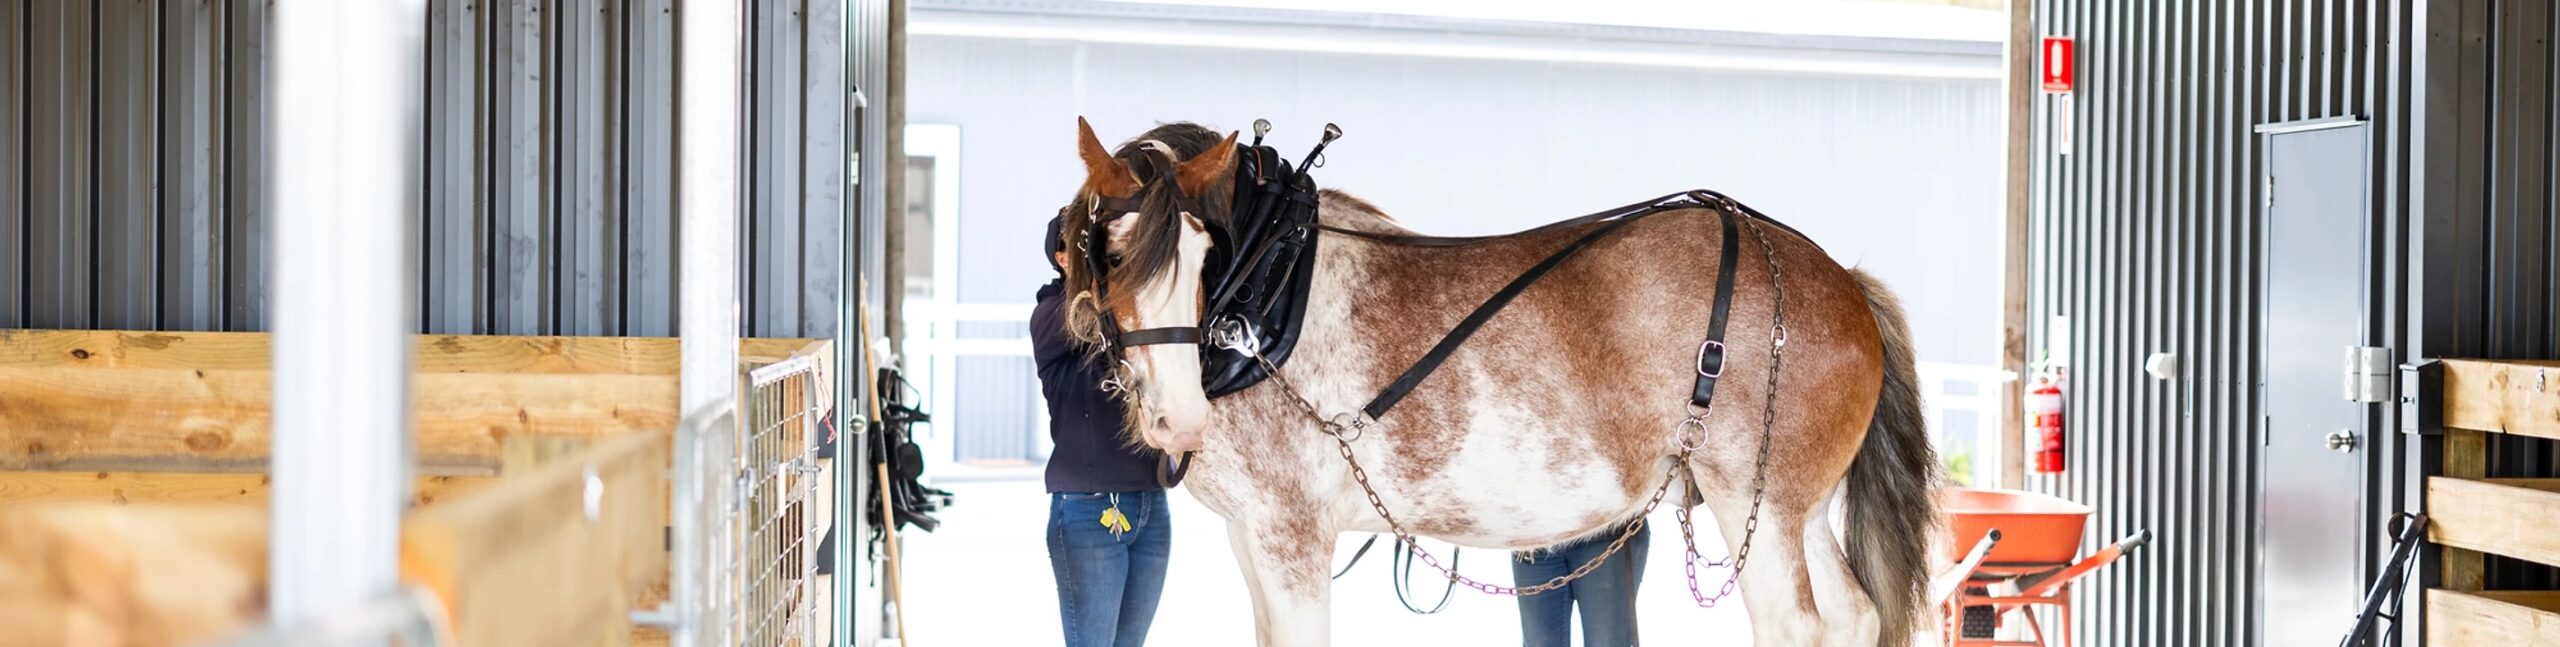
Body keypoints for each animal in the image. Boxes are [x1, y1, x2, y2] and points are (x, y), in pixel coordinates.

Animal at [1059, 117, 1935, 647]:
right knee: (1852, 615)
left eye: (1203, 252)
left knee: (1794, 625)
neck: (1272, 287)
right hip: (1799, 511)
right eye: (1110, 249)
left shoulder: (1291, 537)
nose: (1176, 419)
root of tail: (1842, 282)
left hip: (1755, 507)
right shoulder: (1252, 539)